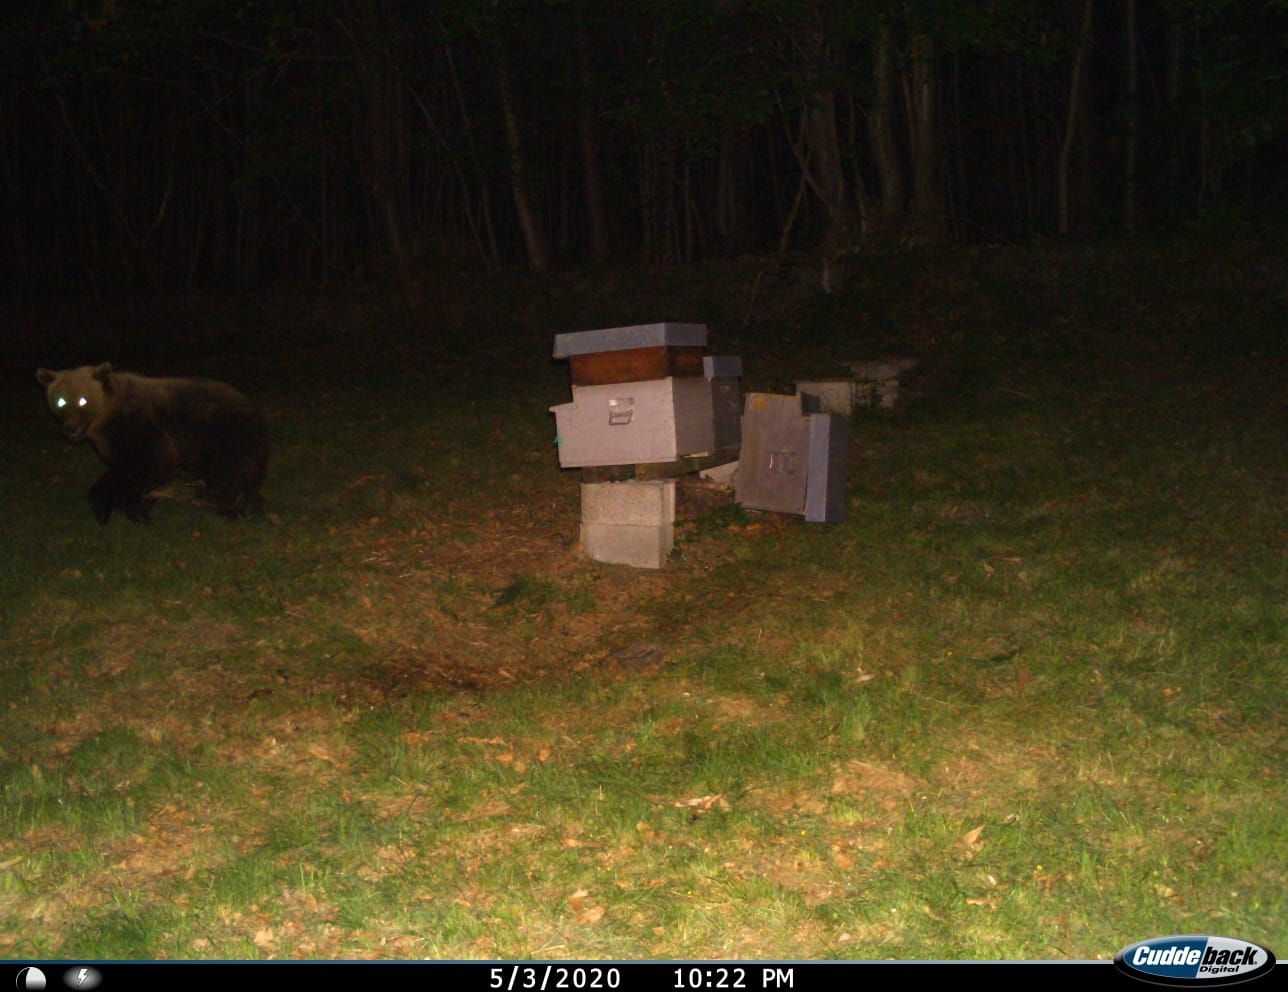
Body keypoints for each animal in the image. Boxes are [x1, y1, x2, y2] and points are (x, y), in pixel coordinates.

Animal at [36, 363, 269, 524]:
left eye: (83, 400)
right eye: (60, 401)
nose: (70, 429)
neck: (106, 420)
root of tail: (255, 409)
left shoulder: (142, 426)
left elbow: (152, 462)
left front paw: (133, 506)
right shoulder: (112, 442)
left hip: (221, 433)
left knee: (228, 474)